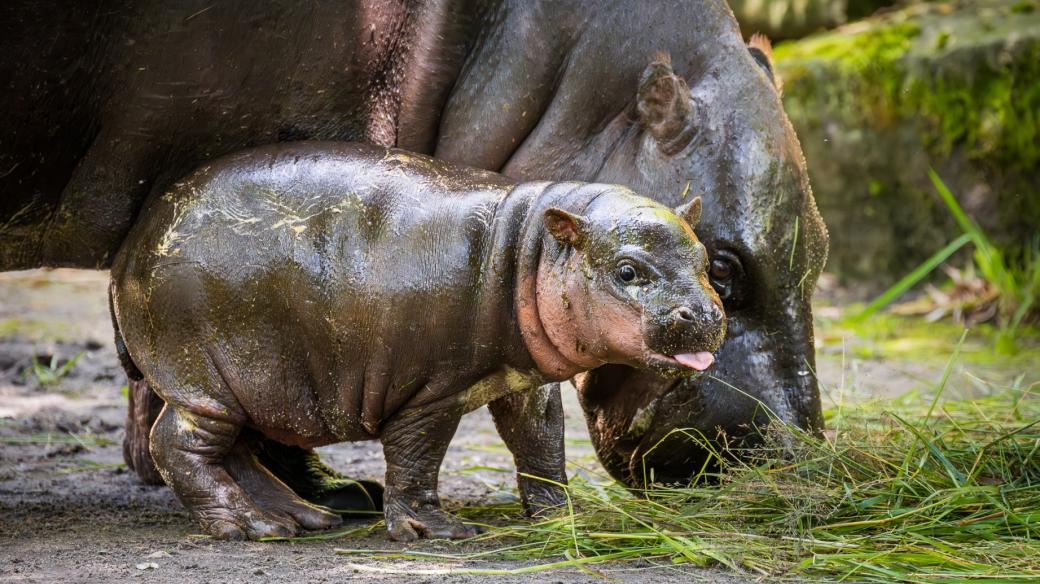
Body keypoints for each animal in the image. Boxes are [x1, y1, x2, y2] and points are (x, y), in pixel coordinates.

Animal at [105, 142, 723, 540]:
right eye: (628, 270)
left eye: (706, 258)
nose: (705, 313)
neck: (528, 253)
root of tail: (128, 250)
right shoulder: (431, 391)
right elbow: (417, 457)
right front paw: (436, 530)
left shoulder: (524, 381)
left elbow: (541, 442)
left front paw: (562, 517)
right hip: (205, 379)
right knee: (179, 447)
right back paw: (246, 527)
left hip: (249, 387)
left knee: (235, 451)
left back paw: (301, 520)